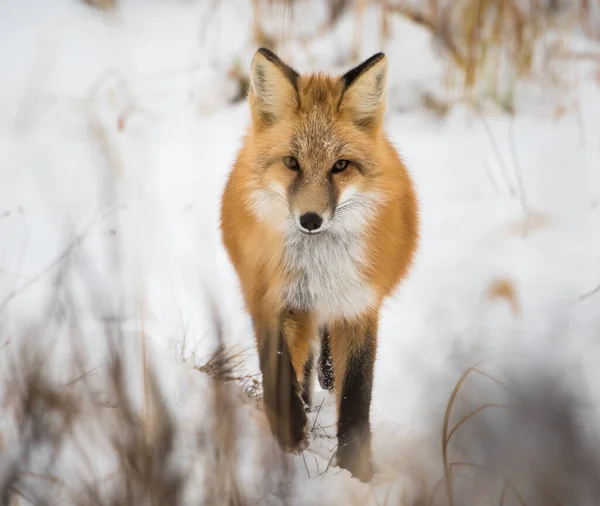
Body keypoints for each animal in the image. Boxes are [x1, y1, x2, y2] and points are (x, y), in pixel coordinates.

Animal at [218, 48, 420, 482]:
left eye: (340, 166)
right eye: (292, 163)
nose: (310, 220)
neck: (316, 270)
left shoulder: (359, 305)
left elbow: (357, 398)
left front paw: (355, 472)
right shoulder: (269, 298)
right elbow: (277, 368)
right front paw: (290, 431)